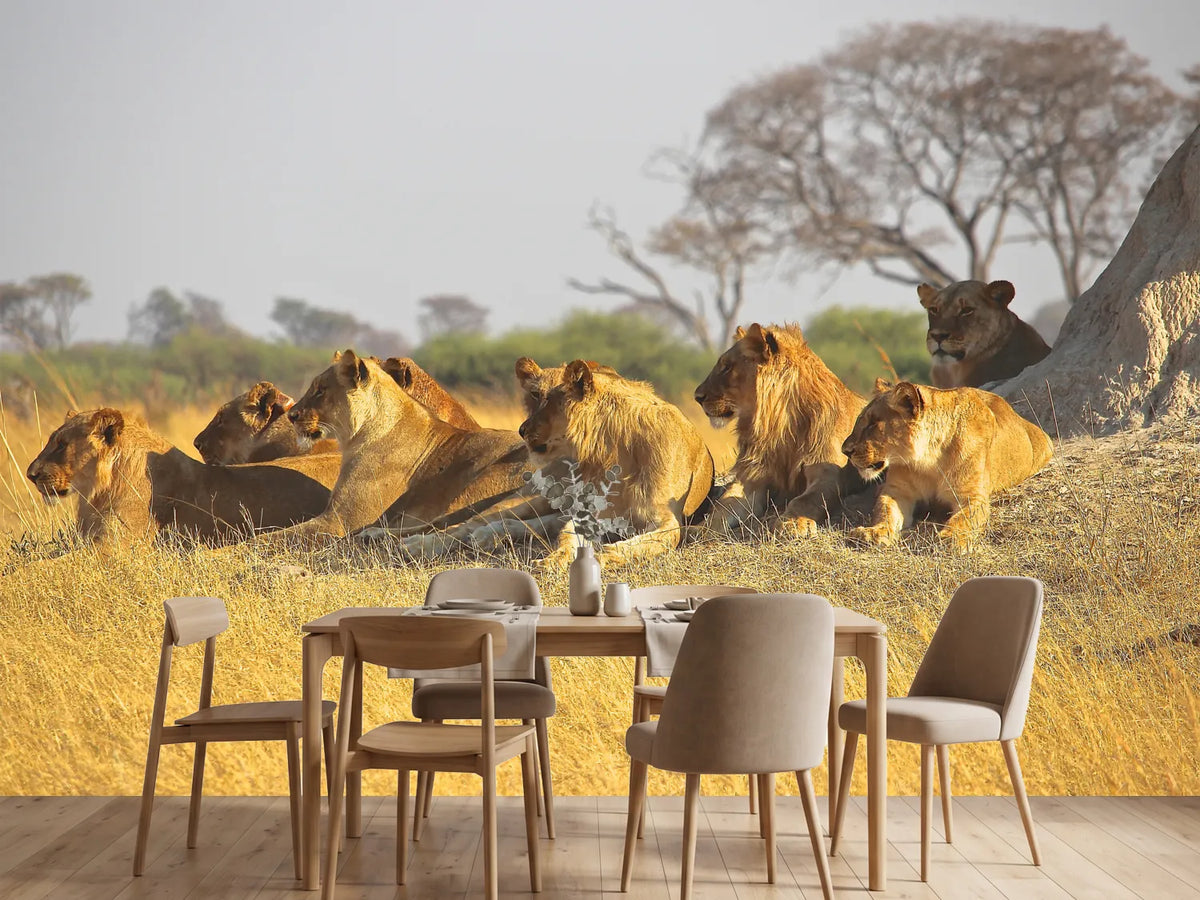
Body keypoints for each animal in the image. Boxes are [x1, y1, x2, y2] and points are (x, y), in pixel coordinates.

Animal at [260, 350, 530, 546]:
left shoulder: (339, 520)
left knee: (451, 523)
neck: (357, 436)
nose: (292, 415)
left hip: (478, 484)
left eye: (320, 390)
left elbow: (275, 536)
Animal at [516, 359, 714, 568]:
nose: (521, 430)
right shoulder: (594, 513)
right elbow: (567, 535)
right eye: (535, 395)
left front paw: (602, 557)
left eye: (549, 400)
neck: (615, 448)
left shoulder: (667, 518)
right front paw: (552, 560)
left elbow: (647, 542)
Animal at [693, 322, 868, 535]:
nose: (697, 396)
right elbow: (724, 505)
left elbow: (805, 499)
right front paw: (700, 529)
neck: (779, 426)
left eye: (727, 367)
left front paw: (792, 523)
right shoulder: (752, 477)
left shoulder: (830, 473)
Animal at [842, 379, 1053, 551]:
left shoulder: (972, 496)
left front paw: (951, 537)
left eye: (873, 424)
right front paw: (873, 532)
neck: (928, 459)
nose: (845, 450)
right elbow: (884, 511)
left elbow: (963, 519)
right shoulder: (898, 491)